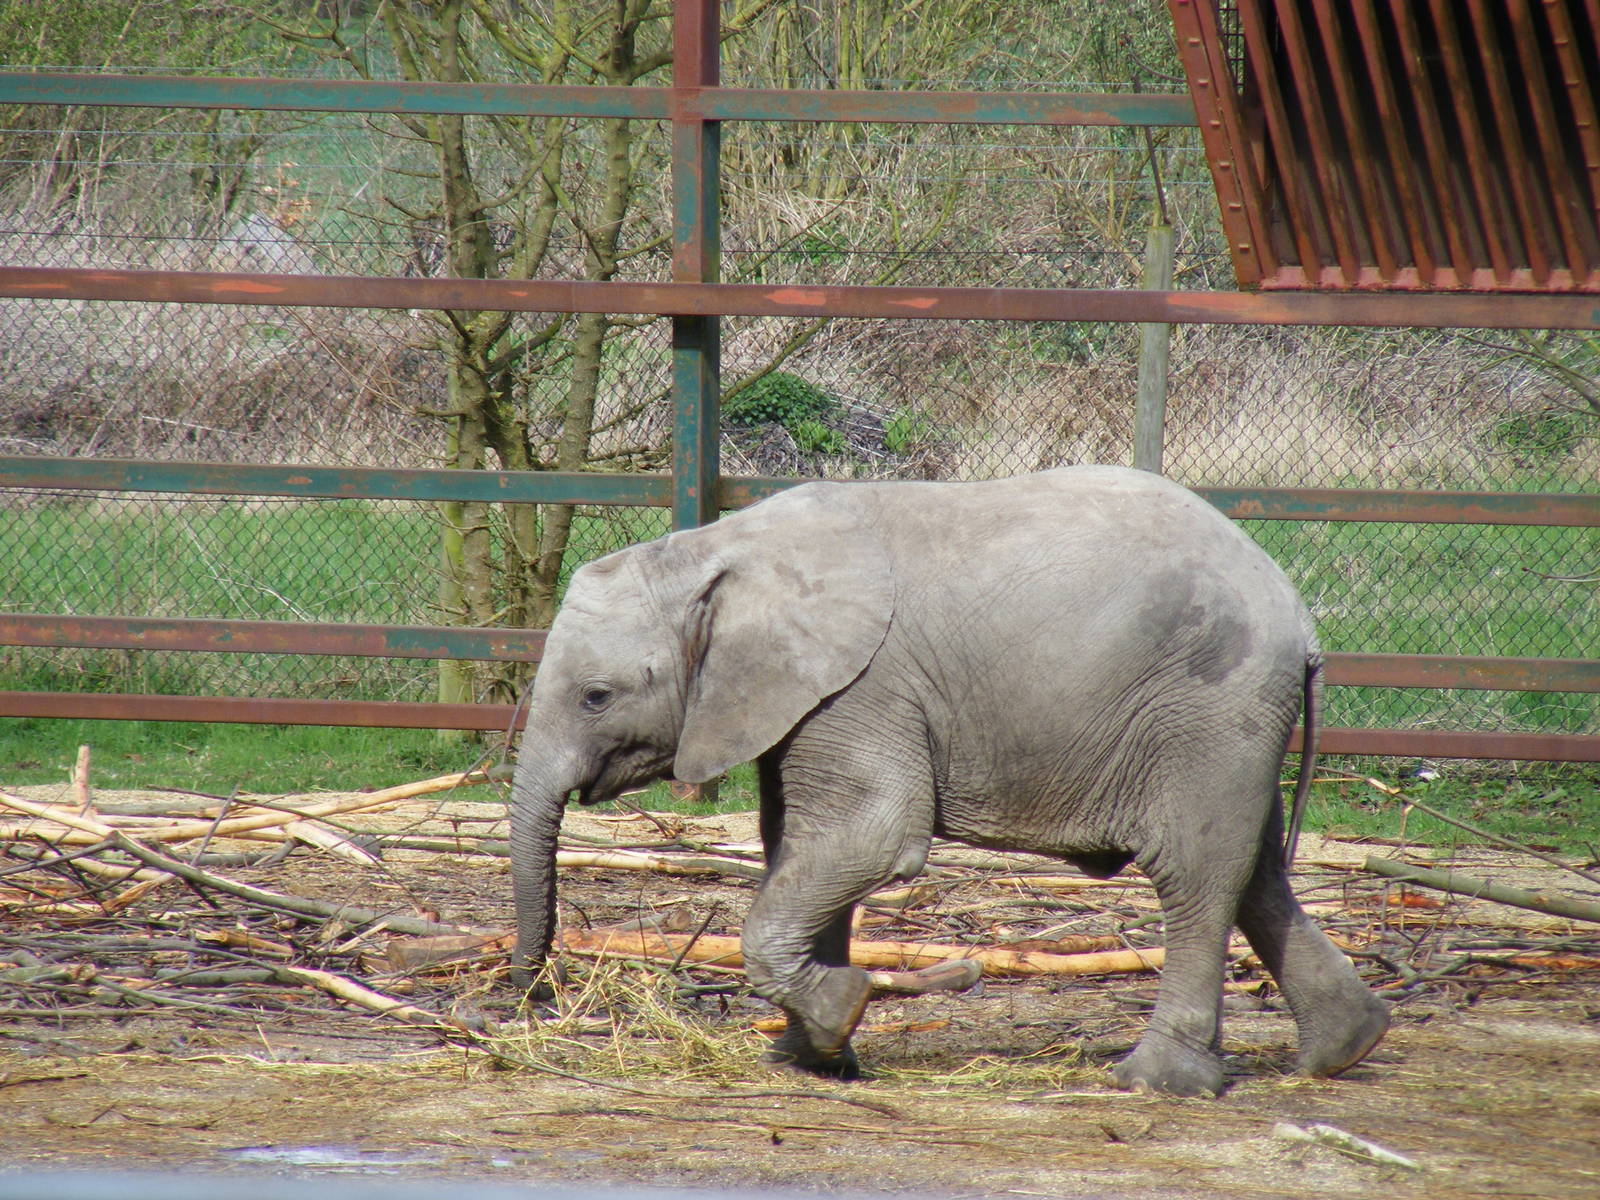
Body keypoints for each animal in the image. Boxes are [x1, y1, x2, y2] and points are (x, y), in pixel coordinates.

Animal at [506, 465, 1390, 1096]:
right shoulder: (807, 698)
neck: (714, 549)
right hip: (1233, 724)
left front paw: (841, 1009)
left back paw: (1156, 1083)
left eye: (596, 697)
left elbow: (871, 835)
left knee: (1196, 872)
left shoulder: (865, 686)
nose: (529, 998)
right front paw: (811, 1059)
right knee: (1256, 869)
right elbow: (797, 841)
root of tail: (1300, 616)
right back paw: (1344, 1050)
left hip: (1208, 707)